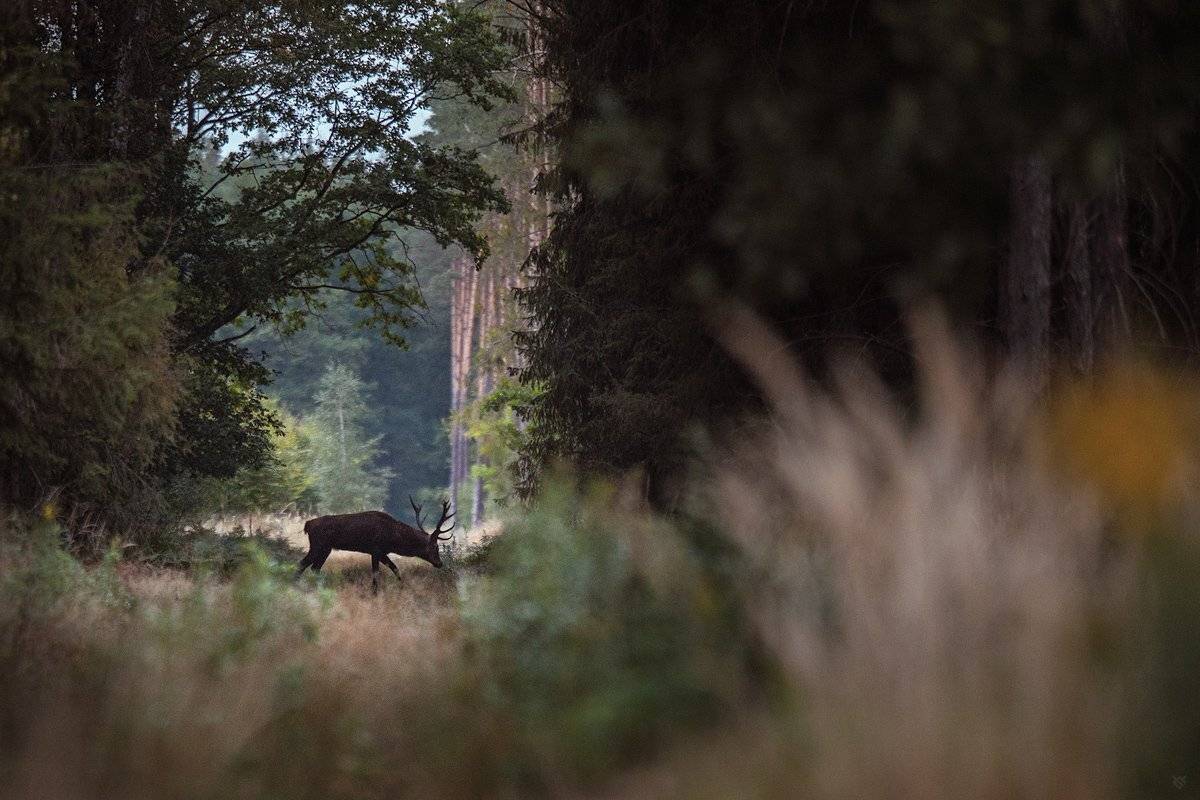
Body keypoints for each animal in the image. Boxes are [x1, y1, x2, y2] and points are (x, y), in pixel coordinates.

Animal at [296, 497, 455, 593]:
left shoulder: (383, 552)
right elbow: (376, 575)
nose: (440, 563)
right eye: (435, 547)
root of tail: (308, 524)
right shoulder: (376, 550)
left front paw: (402, 587)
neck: (394, 539)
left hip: (326, 548)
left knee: (315, 568)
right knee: (302, 564)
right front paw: (374, 593)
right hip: (318, 545)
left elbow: (396, 569)